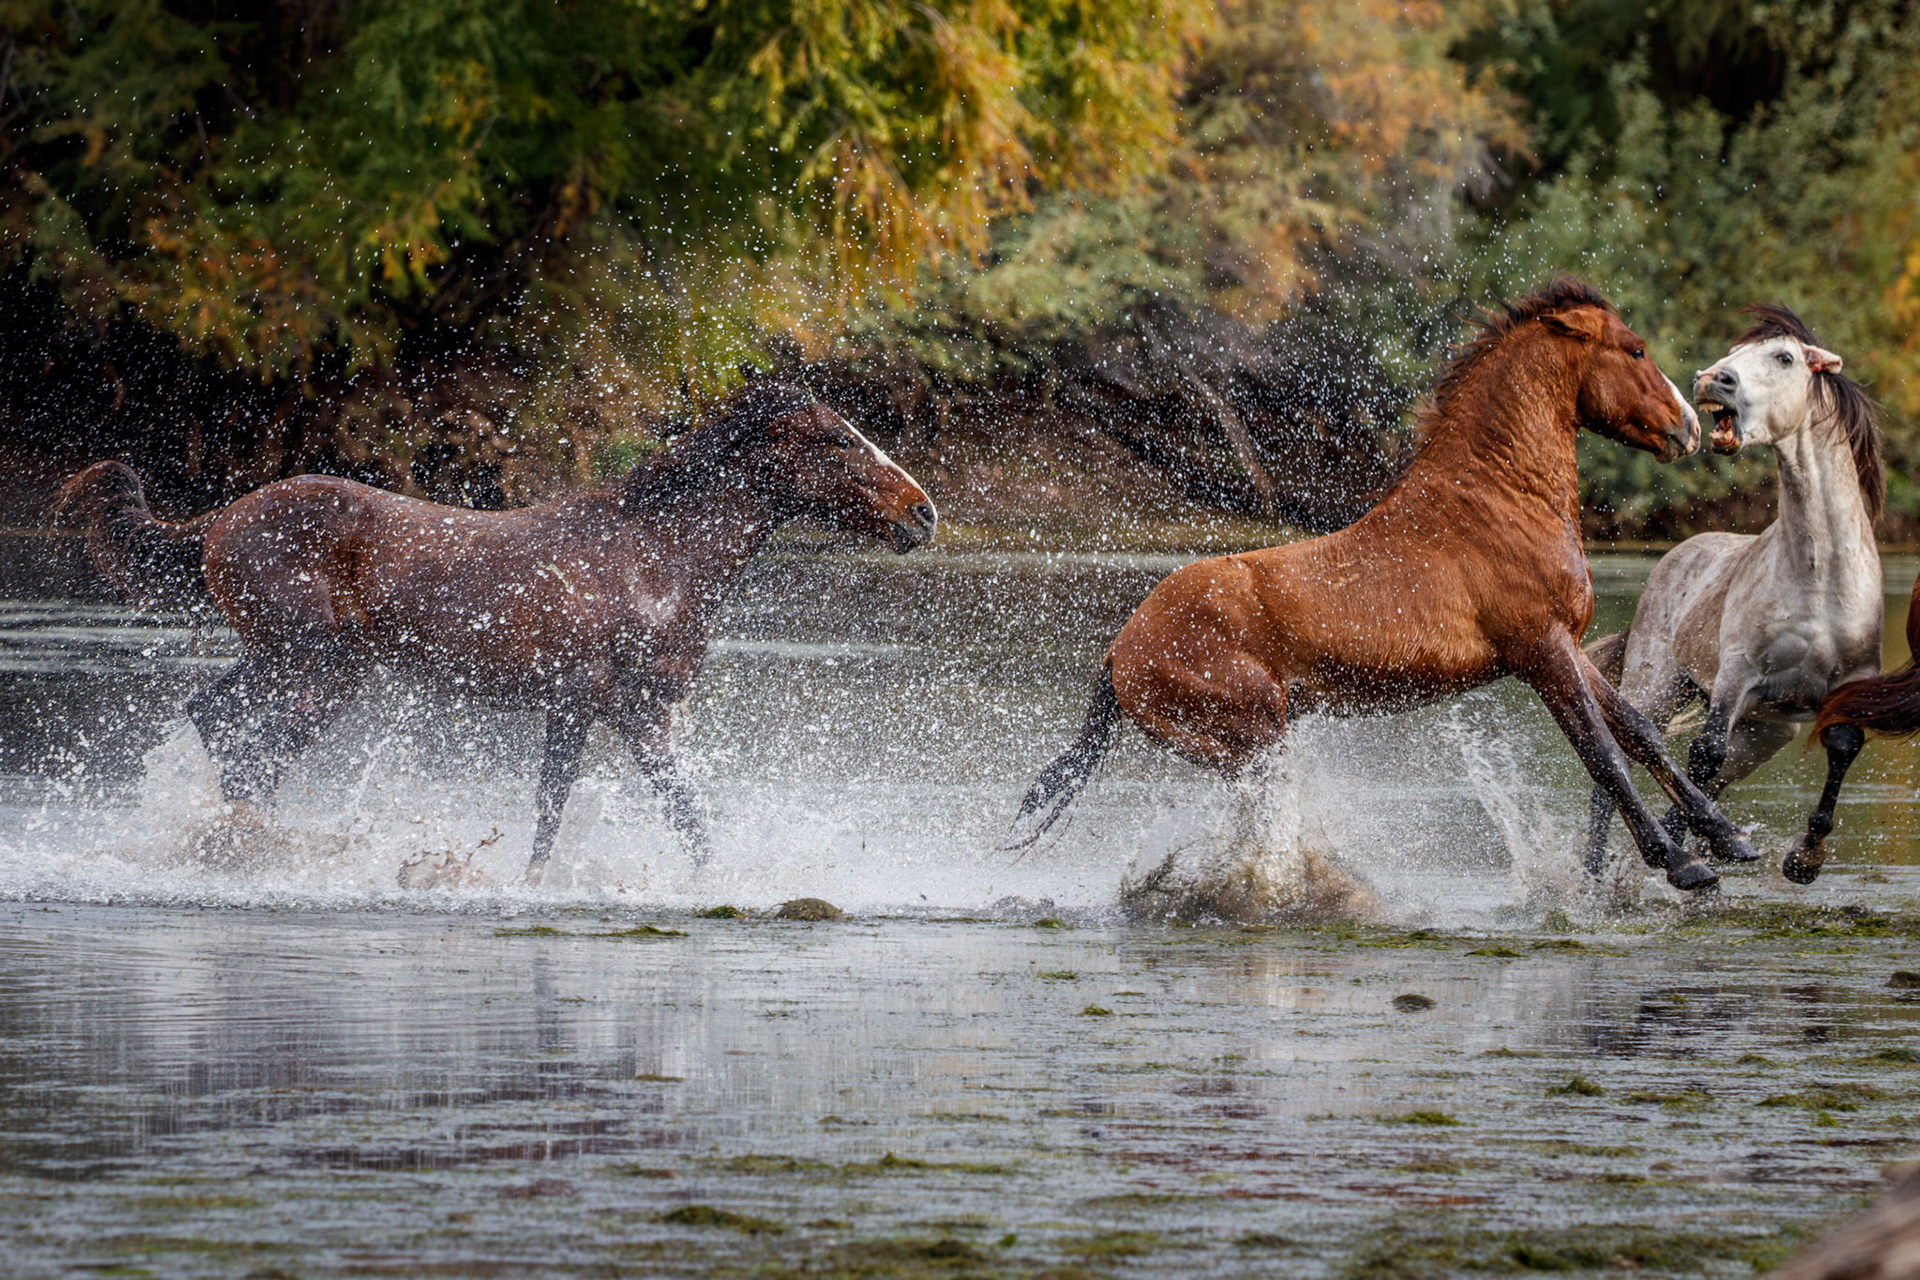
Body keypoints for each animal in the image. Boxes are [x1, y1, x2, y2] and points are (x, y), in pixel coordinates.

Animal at [55, 382, 937, 882]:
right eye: (839, 440)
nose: (922, 513)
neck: (655, 559)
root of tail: (217, 523)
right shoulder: (579, 699)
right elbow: (552, 806)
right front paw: (525, 885)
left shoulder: (642, 713)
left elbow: (689, 816)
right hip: (302, 663)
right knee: (241, 741)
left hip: (319, 668)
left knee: (227, 730)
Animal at [1012, 277, 1753, 892]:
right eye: (1635, 349)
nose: (1689, 427)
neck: (1499, 497)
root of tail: (1119, 651)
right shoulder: (1538, 650)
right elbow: (1601, 753)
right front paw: (1680, 863)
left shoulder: (1567, 643)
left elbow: (1639, 731)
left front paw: (1728, 839)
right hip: (1254, 737)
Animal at [1582, 307, 1883, 886]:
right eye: (1732, 354)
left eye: (1784, 357)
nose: (1710, 380)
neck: (1820, 578)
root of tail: (1677, 555)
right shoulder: (1737, 675)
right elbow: (1703, 752)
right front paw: (1702, 848)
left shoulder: (1852, 682)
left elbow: (1843, 747)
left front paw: (1803, 860)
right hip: (1659, 686)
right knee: (1627, 759)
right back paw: (1595, 873)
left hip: (1766, 733)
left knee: (1717, 774)